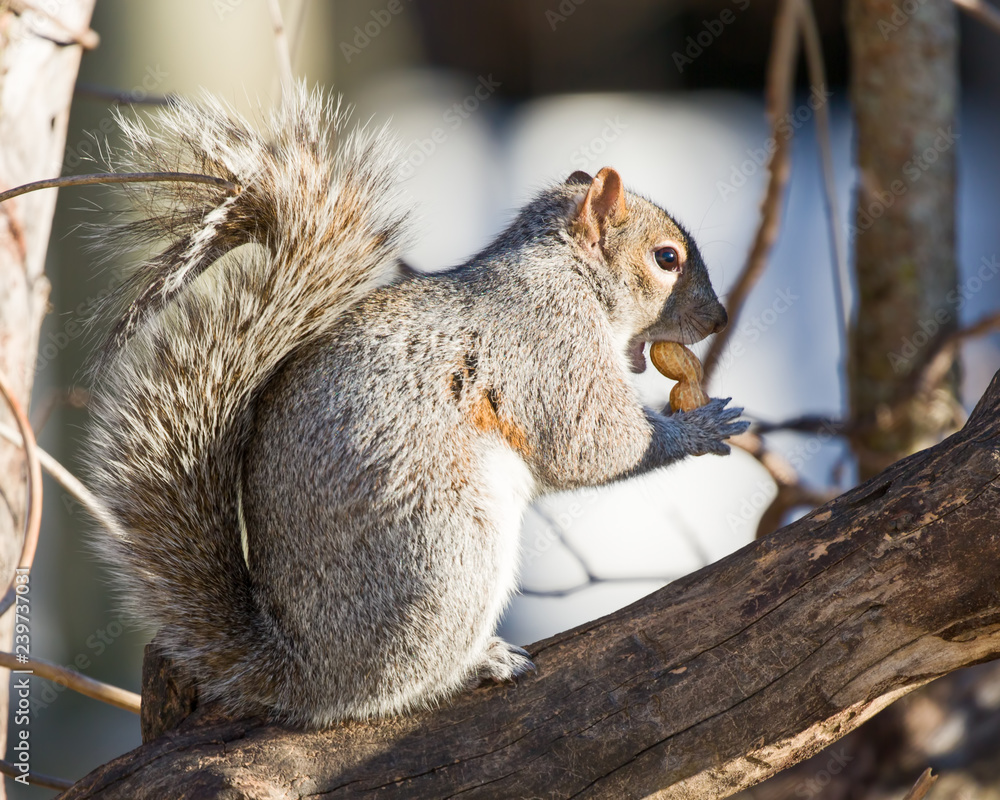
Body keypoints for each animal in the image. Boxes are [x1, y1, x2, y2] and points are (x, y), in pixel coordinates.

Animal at [86, 85, 748, 729]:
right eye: (666, 259)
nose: (719, 319)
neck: (565, 269)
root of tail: (306, 672)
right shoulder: (548, 341)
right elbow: (592, 443)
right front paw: (699, 428)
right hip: (447, 549)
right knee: (392, 689)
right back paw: (477, 664)